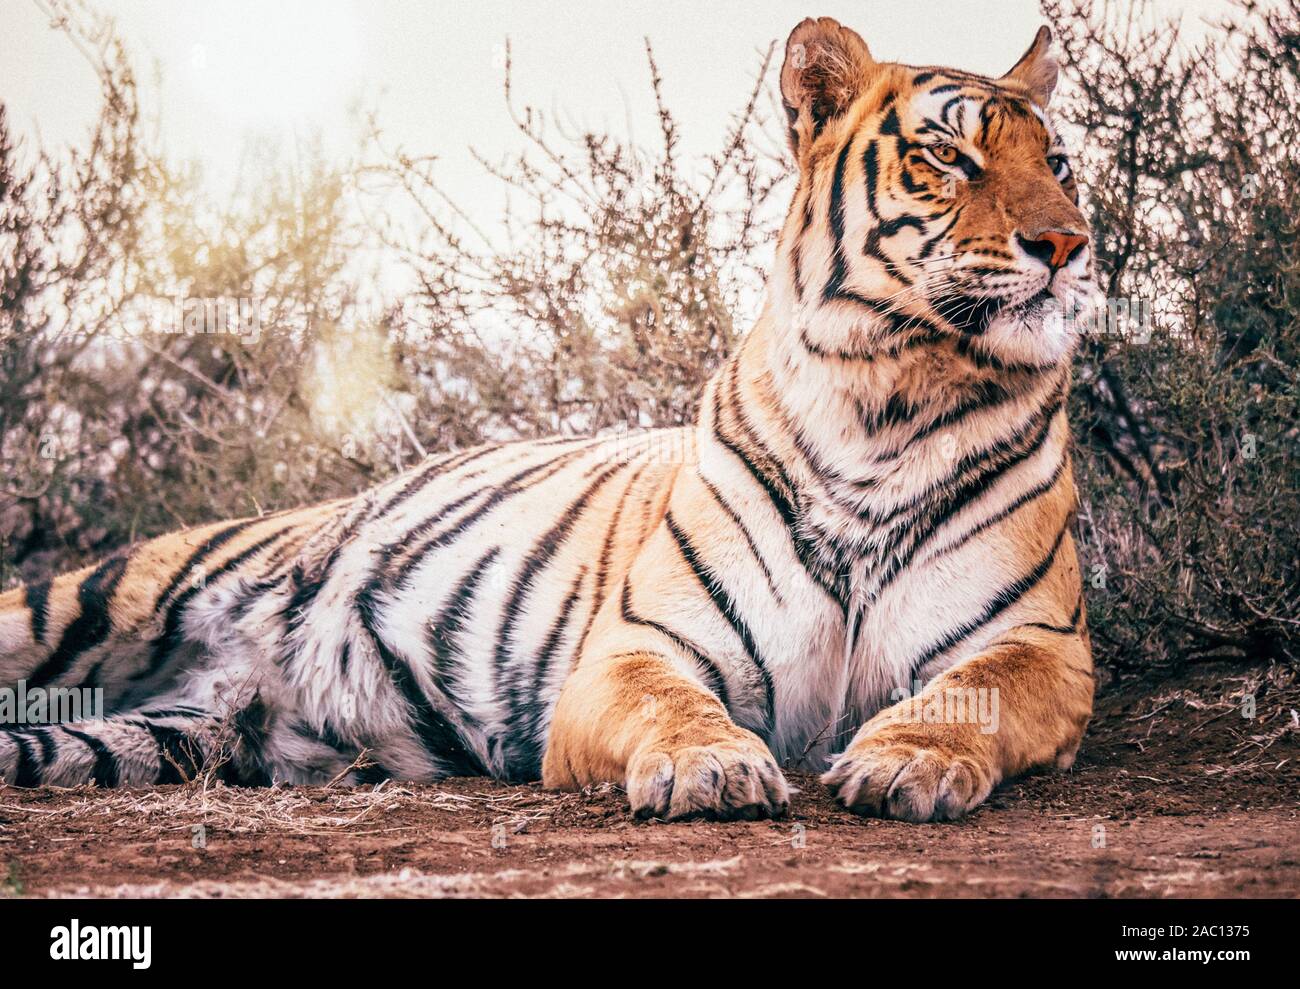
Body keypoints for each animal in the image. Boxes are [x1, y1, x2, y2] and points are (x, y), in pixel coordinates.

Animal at [0, 19, 1097, 821]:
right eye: (947, 155)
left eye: (1059, 162)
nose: (1067, 244)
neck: (893, 393)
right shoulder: (633, 647)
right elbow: (672, 702)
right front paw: (711, 767)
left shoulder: (1039, 640)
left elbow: (973, 690)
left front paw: (905, 758)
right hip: (99, 596)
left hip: (158, 734)